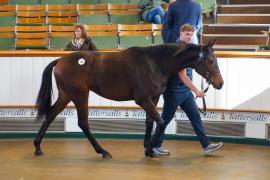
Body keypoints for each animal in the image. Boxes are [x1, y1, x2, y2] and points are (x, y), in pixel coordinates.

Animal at [34, 40, 224, 158]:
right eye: (209, 60)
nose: (220, 83)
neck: (154, 63)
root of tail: (60, 60)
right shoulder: (143, 100)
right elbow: (162, 122)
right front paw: (149, 149)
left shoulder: (153, 99)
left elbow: (150, 122)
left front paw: (150, 149)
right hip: (80, 95)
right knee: (83, 123)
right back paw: (103, 151)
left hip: (66, 95)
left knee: (50, 116)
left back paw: (37, 147)